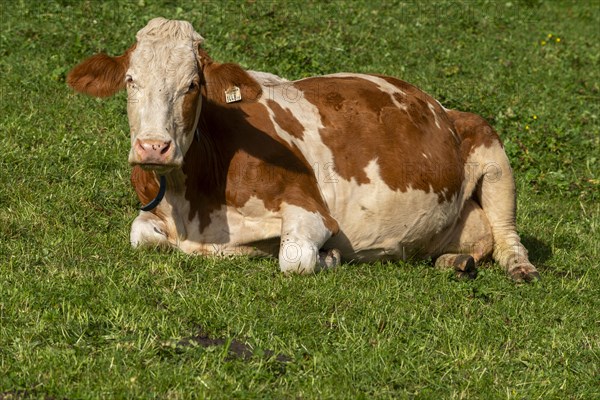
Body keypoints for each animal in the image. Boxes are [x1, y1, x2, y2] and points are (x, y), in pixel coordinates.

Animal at [67, 18, 540, 282]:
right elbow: (141, 237)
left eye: (192, 85)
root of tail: (439, 105)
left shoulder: (310, 207)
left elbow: (294, 258)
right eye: (131, 80)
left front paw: (330, 258)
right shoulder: (154, 211)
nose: (154, 147)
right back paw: (454, 263)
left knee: (506, 234)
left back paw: (520, 268)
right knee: (478, 240)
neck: (195, 203)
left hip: (490, 146)